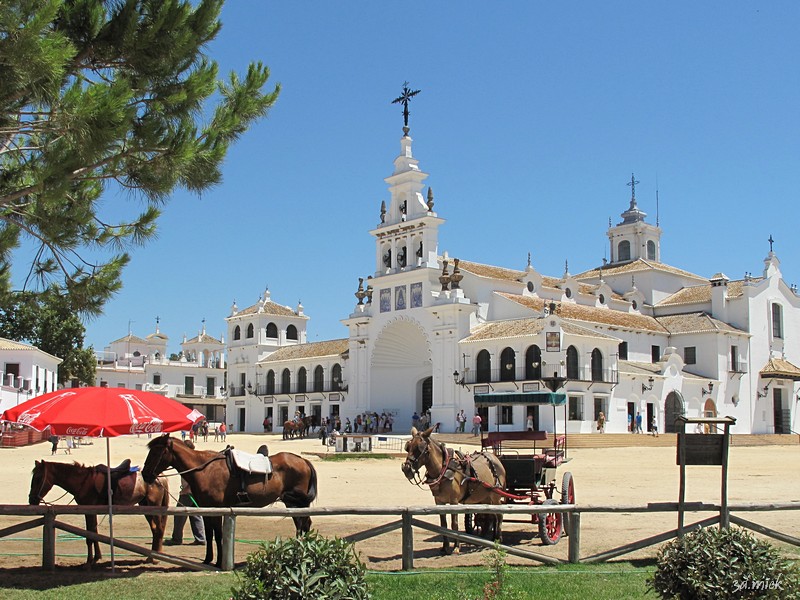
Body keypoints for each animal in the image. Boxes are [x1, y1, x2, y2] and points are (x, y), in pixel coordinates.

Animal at [28, 460, 170, 568]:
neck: (83, 481)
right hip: (145, 506)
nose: (31, 500)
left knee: (159, 529)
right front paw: (96, 557)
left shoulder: (89, 511)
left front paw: (89, 561)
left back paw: (156, 558)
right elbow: (93, 533)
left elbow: (90, 536)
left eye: (38, 478)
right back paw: (151, 557)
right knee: (155, 529)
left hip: (154, 506)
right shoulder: (91, 511)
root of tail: (160, 477)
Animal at [142, 436, 318, 568]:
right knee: (302, 524)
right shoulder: (206, 509)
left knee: (304, 524)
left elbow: (218, 535)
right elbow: (209, 534)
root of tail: (303, 460)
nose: (144, 474)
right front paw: (207, 559)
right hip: (292, 504)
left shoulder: (218, 510)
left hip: (298, 503)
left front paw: (219, 562)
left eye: (157, 451)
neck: (204, 470)